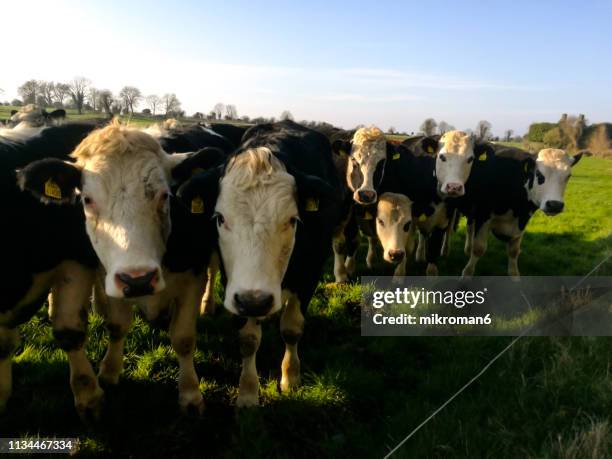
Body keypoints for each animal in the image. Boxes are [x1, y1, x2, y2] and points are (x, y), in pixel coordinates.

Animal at [178, 120, 344, 408]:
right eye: (220, 218)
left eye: (292, 220)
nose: (256, 302)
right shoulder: (238, 286)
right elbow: (248, 339)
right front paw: (247, 392)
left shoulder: (309, 274)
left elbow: (292, 329)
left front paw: (290, 377)